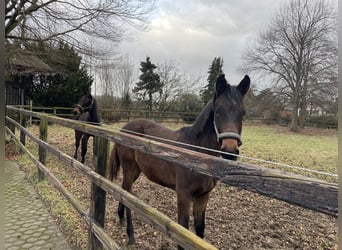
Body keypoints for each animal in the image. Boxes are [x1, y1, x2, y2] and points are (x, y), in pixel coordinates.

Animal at [111, 73, 250, 248]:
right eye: (218, 111)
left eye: (243, 113)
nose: (230, 151)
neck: (196, 155)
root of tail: (123, 130)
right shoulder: (183, 196)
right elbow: (183, 231)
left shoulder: (203, 196)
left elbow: (199, 230)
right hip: (130, 169)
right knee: (127, 196)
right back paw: (130, 235)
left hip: (136, 171)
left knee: (123, 190)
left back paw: (121, 217)